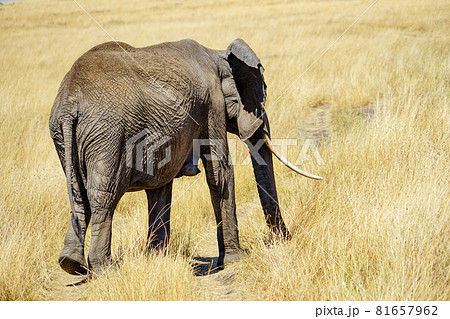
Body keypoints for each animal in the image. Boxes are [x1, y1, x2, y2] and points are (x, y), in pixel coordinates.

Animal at [49, 38, 322, 276]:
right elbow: (220, 173)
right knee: (102, 197)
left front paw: (157, 259)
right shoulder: (212, 103)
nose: (285, 238)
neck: (217, 55)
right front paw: (235, 260)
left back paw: (71, 264)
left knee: (79, 194)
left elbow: (160, 186)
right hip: (108, 134)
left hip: (68, 138)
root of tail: (69, 104)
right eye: (262, 94)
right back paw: (105, 270)